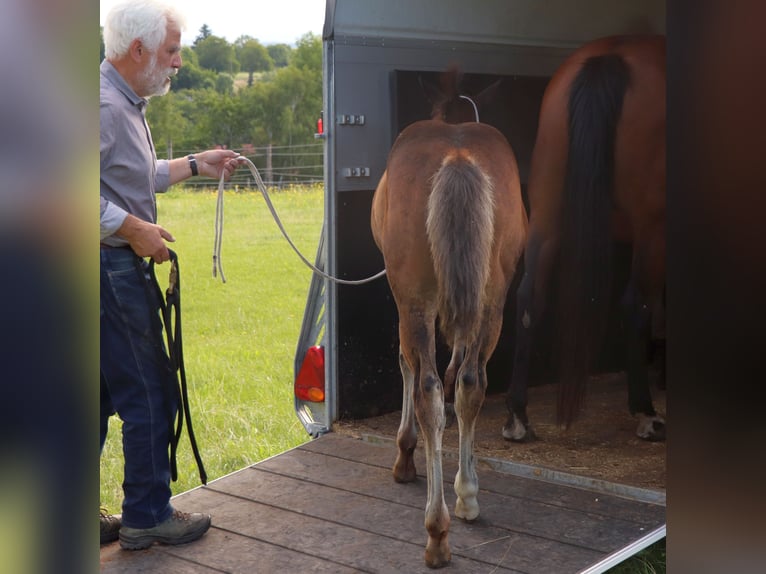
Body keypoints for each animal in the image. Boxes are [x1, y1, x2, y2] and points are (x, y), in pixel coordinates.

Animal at [371, 68, 527, 568]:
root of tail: (457, 155)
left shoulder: (403, 299)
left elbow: (406, 365)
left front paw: (404, 456)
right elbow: (460, 370)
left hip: (415, 302)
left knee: (428, 390)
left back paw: (436, 533)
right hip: (493, 299)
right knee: (473, 382)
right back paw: (467, 497)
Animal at [503, 35, 667, 443]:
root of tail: (608, 58)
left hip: (546, 219)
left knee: (529, 298)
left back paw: (517, 417)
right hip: (653, 230)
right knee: (635, 304)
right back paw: (646, 413)